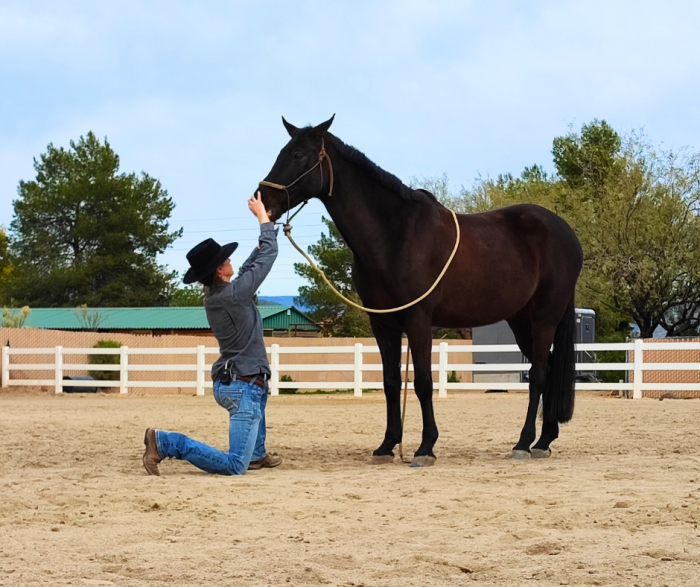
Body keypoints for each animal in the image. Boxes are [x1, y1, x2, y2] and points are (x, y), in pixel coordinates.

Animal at [257, 116, 583, 467]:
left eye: (298, 155)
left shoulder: (418, 318)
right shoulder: (382, 323)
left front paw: (426, 447)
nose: (263, 201)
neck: (394, 234)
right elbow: (390, 382)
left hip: (545, 317)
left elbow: (424, 382)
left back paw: (524, 442)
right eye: (282, 152)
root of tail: (567, 233)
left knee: (538, 374)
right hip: (521, 320)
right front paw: (387, 445)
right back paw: (544, 440)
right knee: (548, 369)